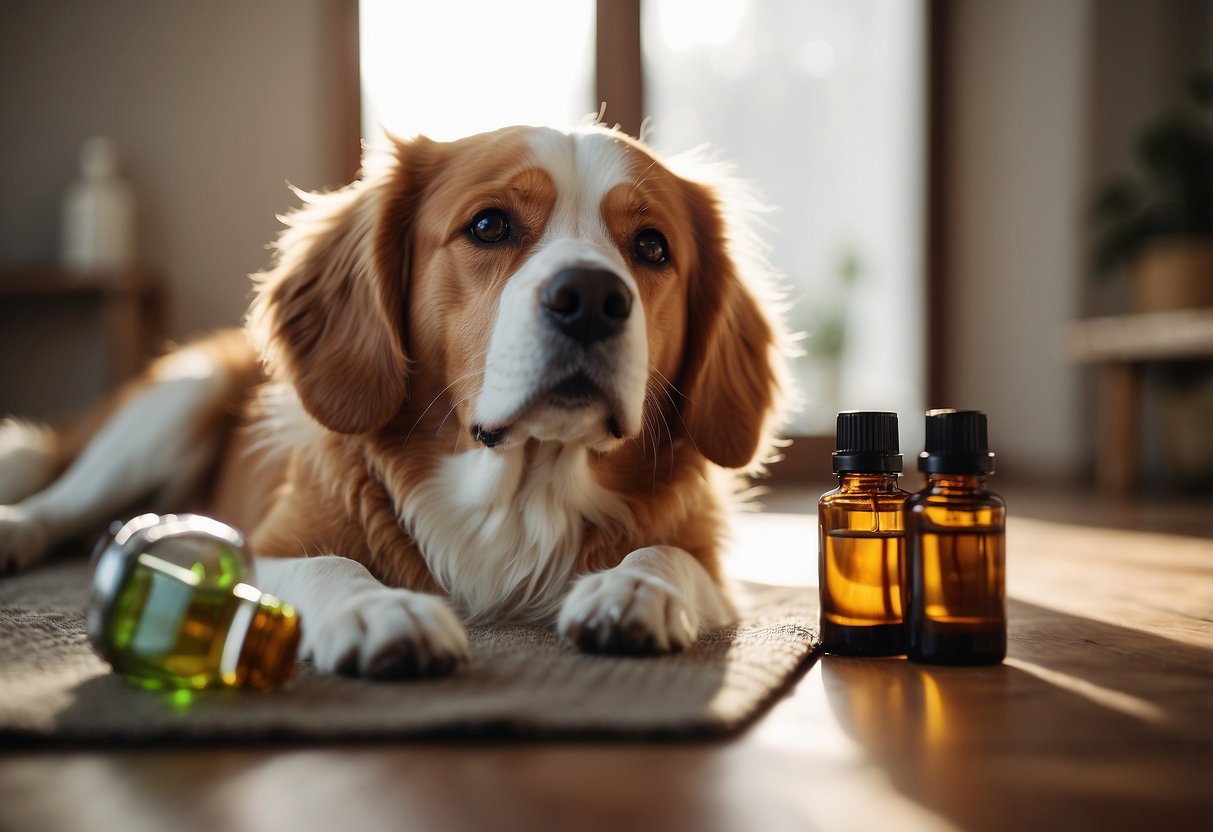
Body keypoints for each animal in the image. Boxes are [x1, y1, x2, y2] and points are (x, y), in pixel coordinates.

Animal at [0, 125, 786, 684]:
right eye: (490, 225)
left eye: (651, 246)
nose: (591, 298)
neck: (519, 489)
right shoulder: (272, 540)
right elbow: (330, 567)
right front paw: (380, 609)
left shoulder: (711, 563)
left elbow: (666, 554)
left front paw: (634, 590)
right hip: (176, 402)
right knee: (65, 500)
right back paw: (19, 531)